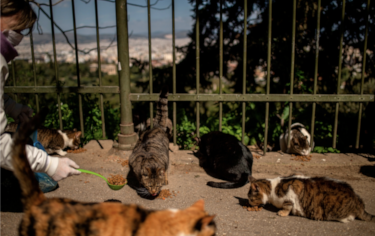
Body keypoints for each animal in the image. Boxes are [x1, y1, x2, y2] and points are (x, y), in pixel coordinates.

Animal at [247, 175, 375, 223]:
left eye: (251, 199)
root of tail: (358, 201)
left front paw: (282, 212)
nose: (249, 204)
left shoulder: (291, 193)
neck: (273, 189)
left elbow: (287, 206)